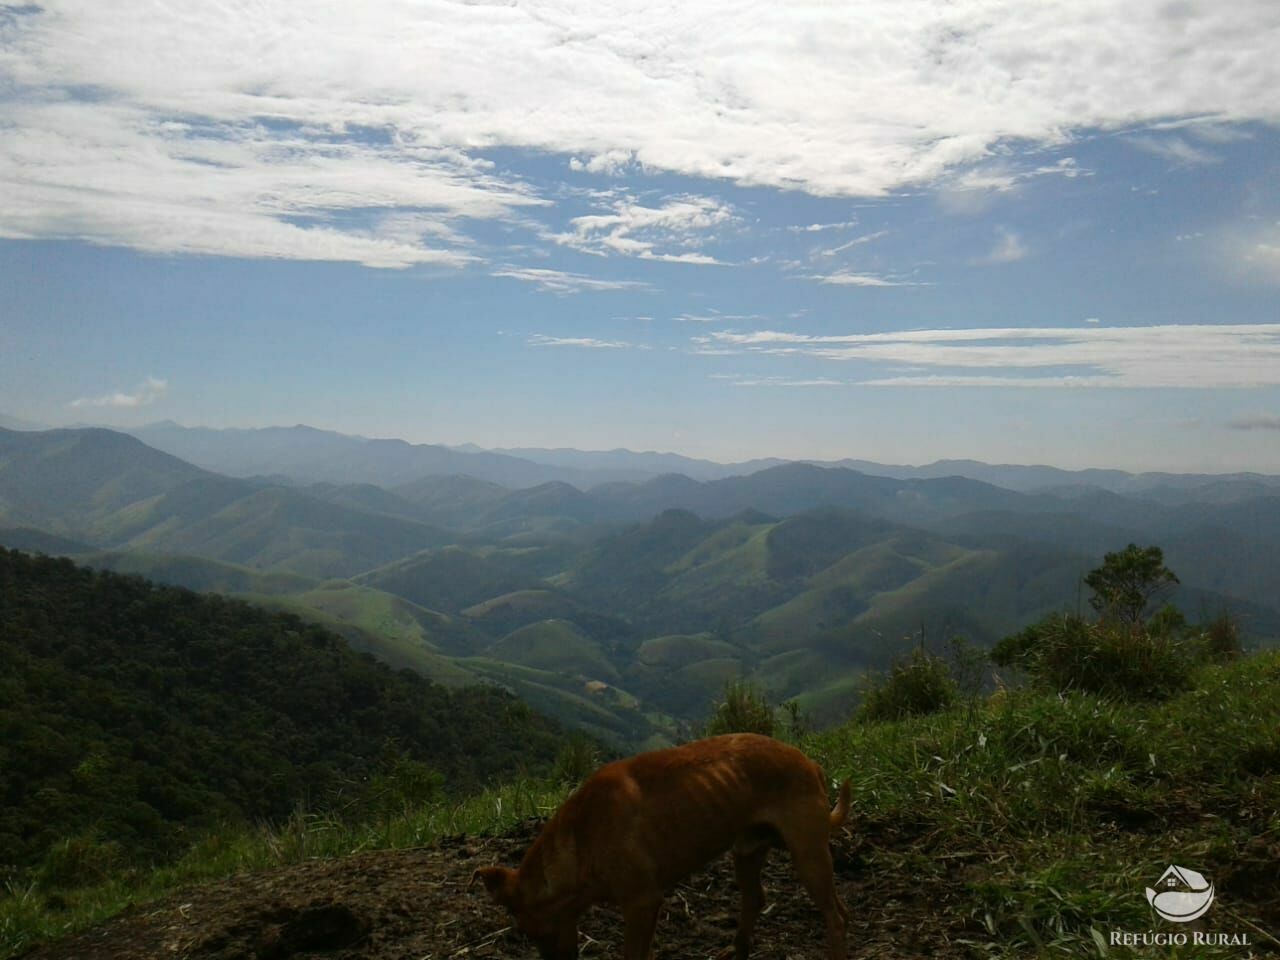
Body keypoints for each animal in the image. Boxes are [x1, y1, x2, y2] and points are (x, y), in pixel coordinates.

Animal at [471, 732, 849, 957]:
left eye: (529, 932)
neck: (580, 840)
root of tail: (809, 761)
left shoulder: (642, 902)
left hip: (808, 852)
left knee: (837, 915)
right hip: (747, 850)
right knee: (756, 899)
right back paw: (737, 950)